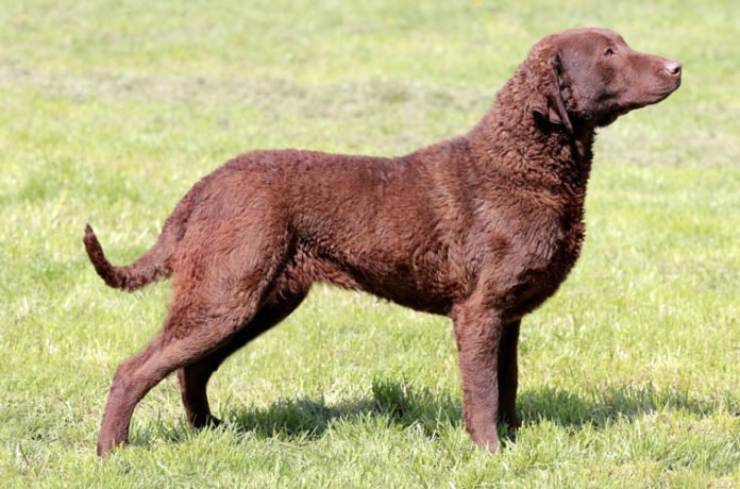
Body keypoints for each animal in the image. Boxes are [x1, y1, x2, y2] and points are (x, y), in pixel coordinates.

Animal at [84, 27, 680, 454]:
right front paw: (490, 454)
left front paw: (514, 443)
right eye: (609, 52)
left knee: (192, 368)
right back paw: (113, 451)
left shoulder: (508, 314)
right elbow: (483, 392)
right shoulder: (479, 311)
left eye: (623, 42)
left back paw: (211, 430)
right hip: (225, 293)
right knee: (136, 369)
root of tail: (204, 186)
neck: (519, 166)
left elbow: (508, 384)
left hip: (258, 299)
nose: (677, 66)